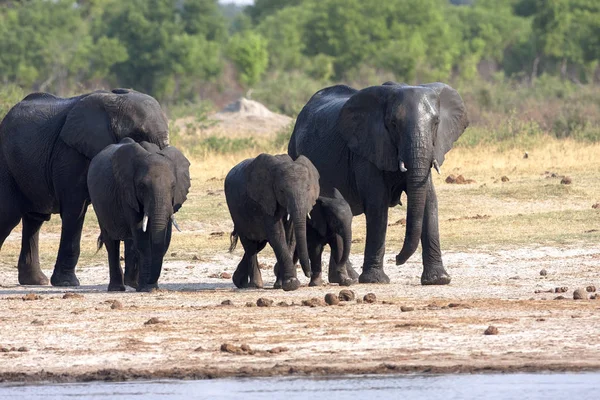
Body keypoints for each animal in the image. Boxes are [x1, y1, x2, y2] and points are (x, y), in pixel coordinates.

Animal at [0, 89, 169, 286]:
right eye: (140, 134)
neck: (115, 101)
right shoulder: (69, 154)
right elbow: (75, 209)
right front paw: (67, 283)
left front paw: (131, 283)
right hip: (6, 164)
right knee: (8, 216)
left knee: (34, 219)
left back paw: (36, 282)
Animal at [86, 139, 189, 292]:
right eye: (142, 186)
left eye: (173, 186)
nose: (152, 283)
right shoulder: (128, 194)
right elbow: (142, 237)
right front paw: (147, 288)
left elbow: (165, 238)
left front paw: (150, 287)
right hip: (99, 205)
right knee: (111, 242)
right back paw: (117, 288)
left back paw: (132, 284)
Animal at [224, 153, 318, 290]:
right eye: (282, 191)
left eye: (308, 189)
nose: (309, 273)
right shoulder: (265, 201)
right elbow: (277, 235)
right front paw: (291, 283)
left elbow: (290, 238)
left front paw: (280, 284)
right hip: (236, 213)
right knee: (250, 246)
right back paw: (255, 285)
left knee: (258, 245)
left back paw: (240, 282)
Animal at [290, 81, 468, 284]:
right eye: (393, 124)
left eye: (436, 123)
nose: (397, 259)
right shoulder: (368, 150)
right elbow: (377, 202)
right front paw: (375, 280)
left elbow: (429, 201)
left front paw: (438, 280)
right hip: (294, 151)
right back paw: (349, 279)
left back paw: (347, 278)